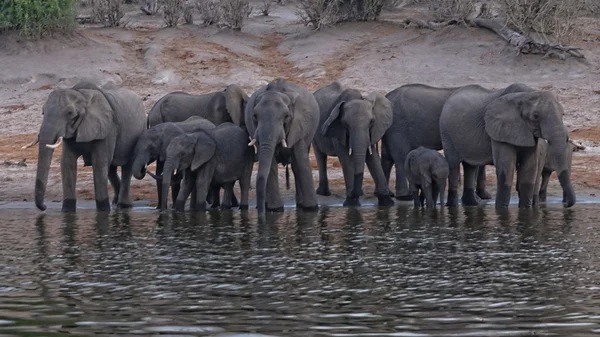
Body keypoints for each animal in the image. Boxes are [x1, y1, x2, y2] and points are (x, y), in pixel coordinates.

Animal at [34, 80, 146, 210]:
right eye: (43, 111)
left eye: (70, 113)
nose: (45, 207)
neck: (82, 95)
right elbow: (67, 163)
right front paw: (67, 211)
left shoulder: (107, 128)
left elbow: (99, 163)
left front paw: (103, 210)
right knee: (111, 169)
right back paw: (115, 203)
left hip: (139, 131)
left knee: (127, 168)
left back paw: (124, 205)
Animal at [244, 78, 318, 217]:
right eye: (255, 116)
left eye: (286, 116)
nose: (260, 215)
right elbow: (271, 166)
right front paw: (275, 209)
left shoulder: (299, 126)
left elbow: (302, 163)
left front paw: (311, 208)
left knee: (296, 166)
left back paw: (301, 205)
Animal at [438, 83, 576, 207]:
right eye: (536, 116)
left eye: (563, 114)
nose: (567, 204)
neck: (526, 94)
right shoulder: (499, 131)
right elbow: (506, 169)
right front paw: (501, 211)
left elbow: (529, 168)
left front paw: (525, 210)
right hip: (446, 132)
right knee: (454, 165)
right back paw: (452, 206)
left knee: (470, 167)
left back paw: (473, 204)